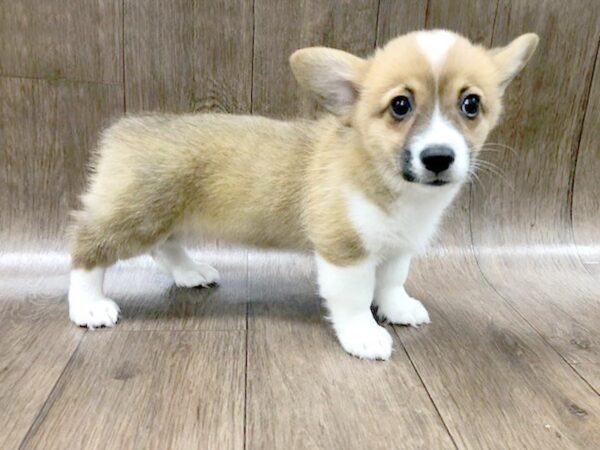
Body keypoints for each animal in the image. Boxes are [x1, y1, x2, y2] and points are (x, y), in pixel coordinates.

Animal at [67, 29, 540, 360]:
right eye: (400, 106)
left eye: (471, 104)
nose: (439, 157)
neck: (389, 181)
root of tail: (125, 130)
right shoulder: (344, 251)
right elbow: (353, 298)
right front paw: (364, 336)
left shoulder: (396, 247)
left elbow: (391, 283)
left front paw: (398, 309)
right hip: (135, 218)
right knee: (86, 249)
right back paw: (88, 306)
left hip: (167, 216)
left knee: (165, 247)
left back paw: (190, 272)